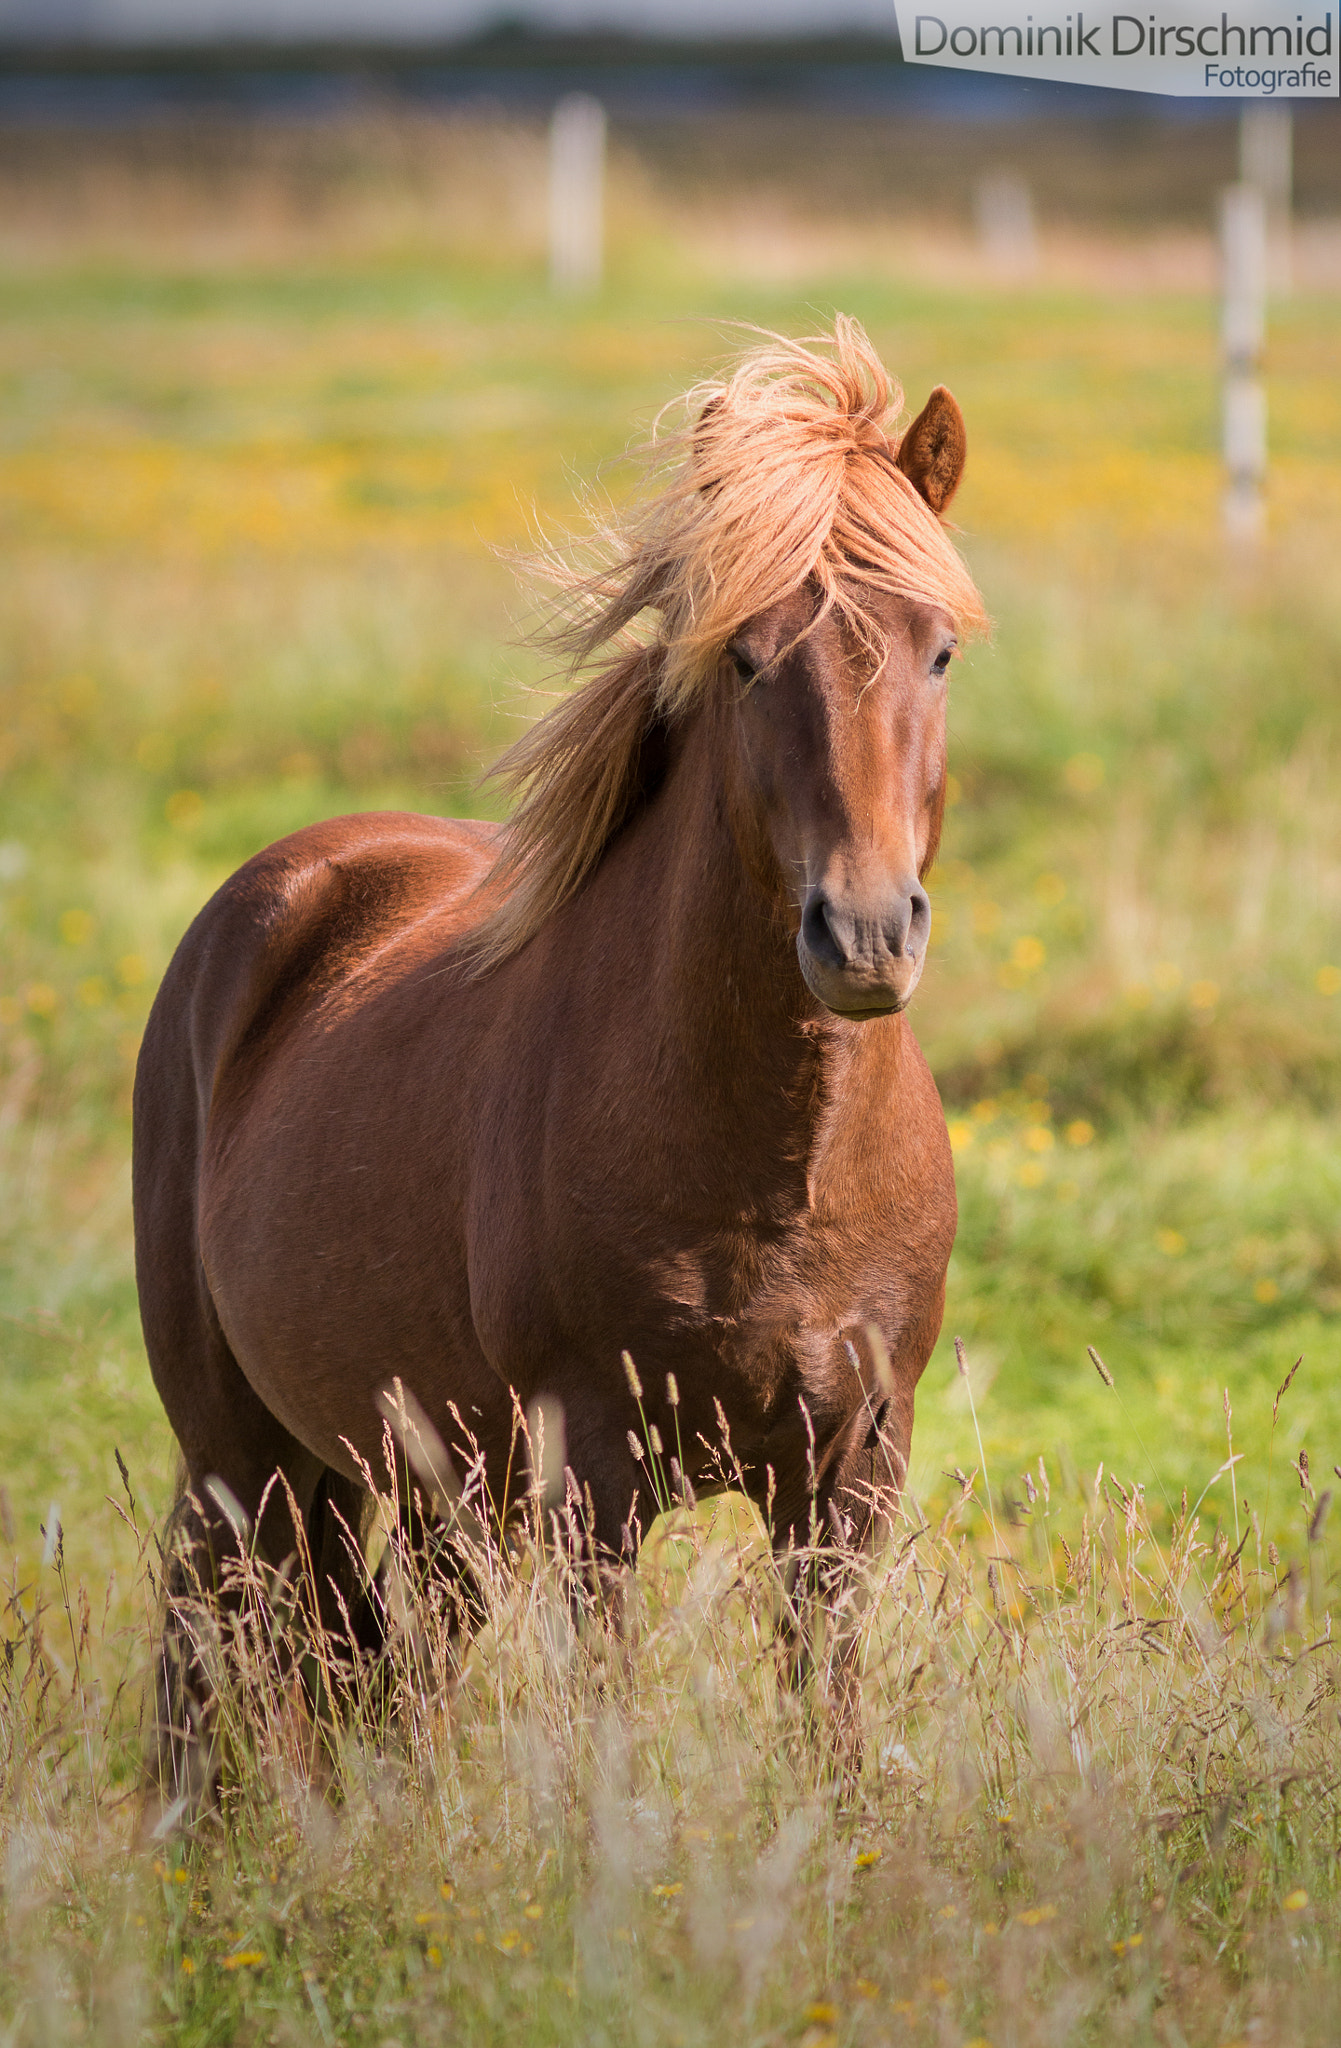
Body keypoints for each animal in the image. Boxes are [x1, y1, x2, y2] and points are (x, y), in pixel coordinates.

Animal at [133, 317, 986, 1807]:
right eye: (748, 657)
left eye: (936, 651)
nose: (866, 934)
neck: (778, 1164)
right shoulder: (593, 1478)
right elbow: (608, 1725)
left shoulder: (850, 1473)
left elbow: (823, 1719)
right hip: (243, 1451)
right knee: (208, 1636)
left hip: (418, 1482)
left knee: (381, 1669)